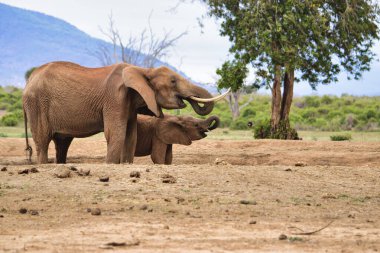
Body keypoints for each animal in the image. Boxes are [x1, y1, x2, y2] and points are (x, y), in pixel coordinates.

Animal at [23, 61, 229, 164]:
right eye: (173, 81)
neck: (144, 70)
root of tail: (28, 81)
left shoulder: (130, 102)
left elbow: (131, 135)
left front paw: (126, 165)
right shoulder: (115, 97)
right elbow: (117, 132)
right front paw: (111, 165)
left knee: (62, 142)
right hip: (37, 103)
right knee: (43, 140)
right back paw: (43, 165)